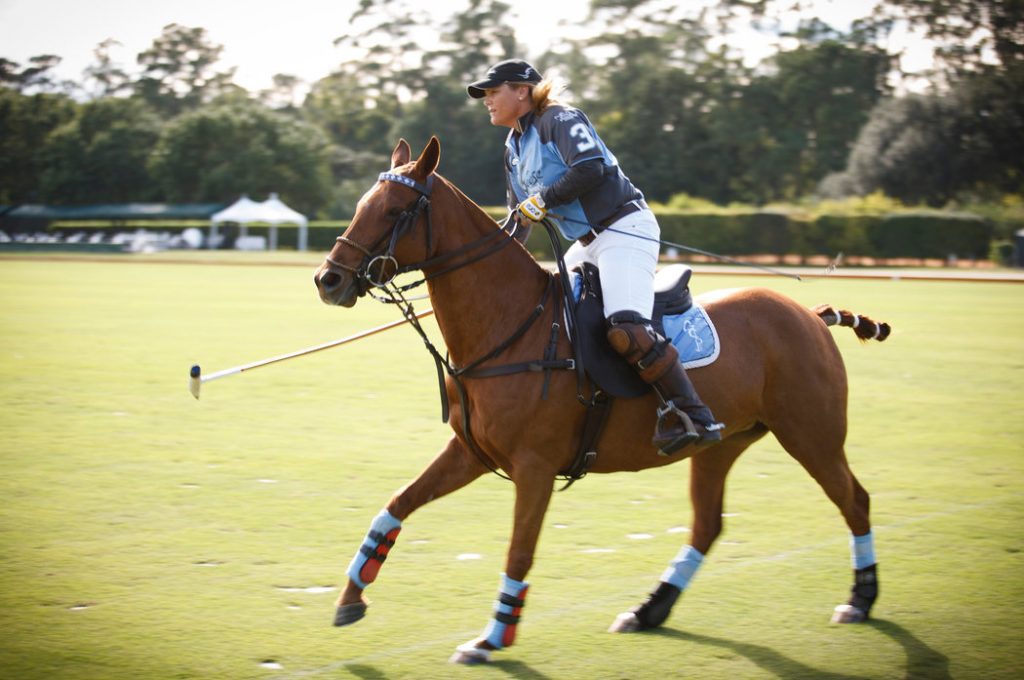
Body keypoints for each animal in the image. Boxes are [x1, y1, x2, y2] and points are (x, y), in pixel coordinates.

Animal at [311, 138, 888, 663]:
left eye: (396, 210)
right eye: (361, 205)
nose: (328, 279)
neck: (509, 327)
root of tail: (811, 314)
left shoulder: (535, 466)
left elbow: (519, 551)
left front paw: (491, 638)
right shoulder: (471, 452)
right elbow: (397, 504)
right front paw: (350, 598)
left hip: (811, 433)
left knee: (855, 500)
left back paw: (860, 599)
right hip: (721, 444)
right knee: (707, 524)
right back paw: (648, 610)